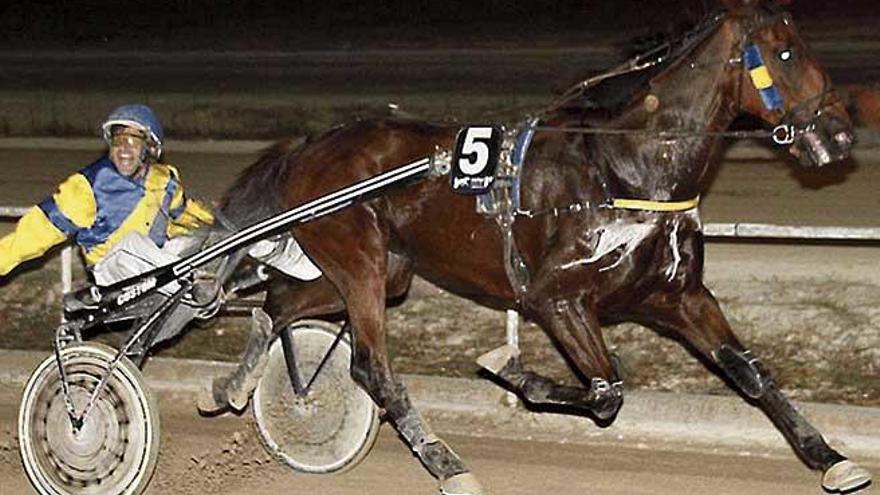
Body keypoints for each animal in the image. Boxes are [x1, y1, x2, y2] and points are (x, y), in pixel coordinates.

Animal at [211, 0, 868, 494]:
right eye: (786, 54)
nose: (839, 134)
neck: (626, 171)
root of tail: (309, 145)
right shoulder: (558, 299)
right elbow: (605, 392)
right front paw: (512, 369)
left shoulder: (679, 296)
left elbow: (751, 374)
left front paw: (831, 458)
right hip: (362, 265)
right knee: (372, 368)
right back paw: (448, 464)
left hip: (380, 270)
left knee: (277, 305)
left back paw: (238, 386)